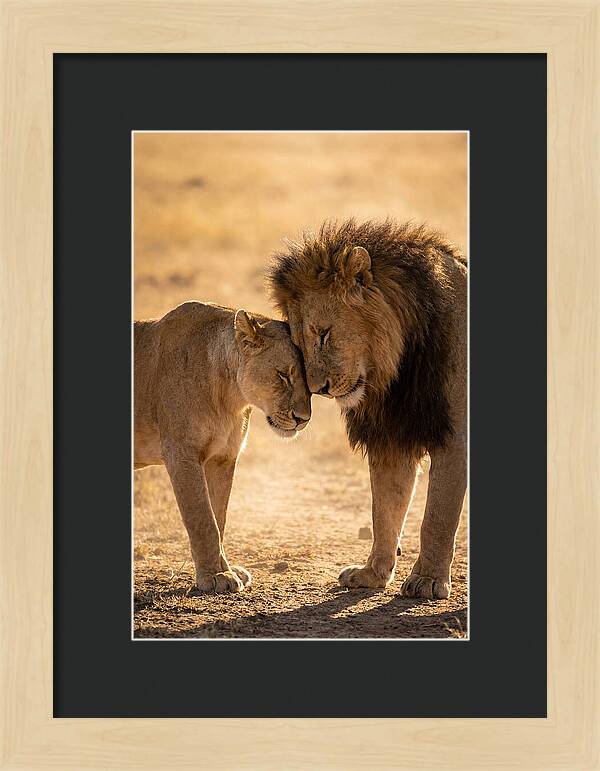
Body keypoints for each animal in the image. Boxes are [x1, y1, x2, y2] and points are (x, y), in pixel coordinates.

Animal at [134, 301, 312, 593]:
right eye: (283, 375)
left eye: (311, 383)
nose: (303, 419)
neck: (230, 397)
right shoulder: (181, 454)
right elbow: (203, 519)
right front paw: (215, 576)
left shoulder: (222, 458)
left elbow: (219, 518)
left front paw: (226, 569)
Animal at [268, 219, 467, 599]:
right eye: (299, 343)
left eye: (324, 334)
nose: (319, 389)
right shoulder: (391, 438)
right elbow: (384, 510)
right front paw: (373, 574)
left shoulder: (456, 438)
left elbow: (437, 516)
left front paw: (427, 580)